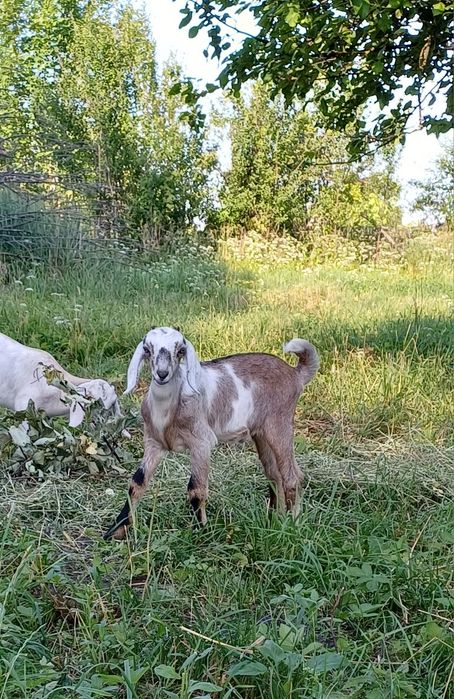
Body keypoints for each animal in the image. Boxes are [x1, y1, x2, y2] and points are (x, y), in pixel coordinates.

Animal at [104, 326, 319, 540]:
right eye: (147, 350)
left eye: (180, 351)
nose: (162, 374)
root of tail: (295, 374)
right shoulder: (154, 443)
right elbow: (136, 483)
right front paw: (115, 531)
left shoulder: (201, 442)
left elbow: (196, 489)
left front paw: (202, 533)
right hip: (261, 434)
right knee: (276, 475)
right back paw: (275, 520)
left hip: (279, 424)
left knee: (292, 477)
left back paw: (293, 525)